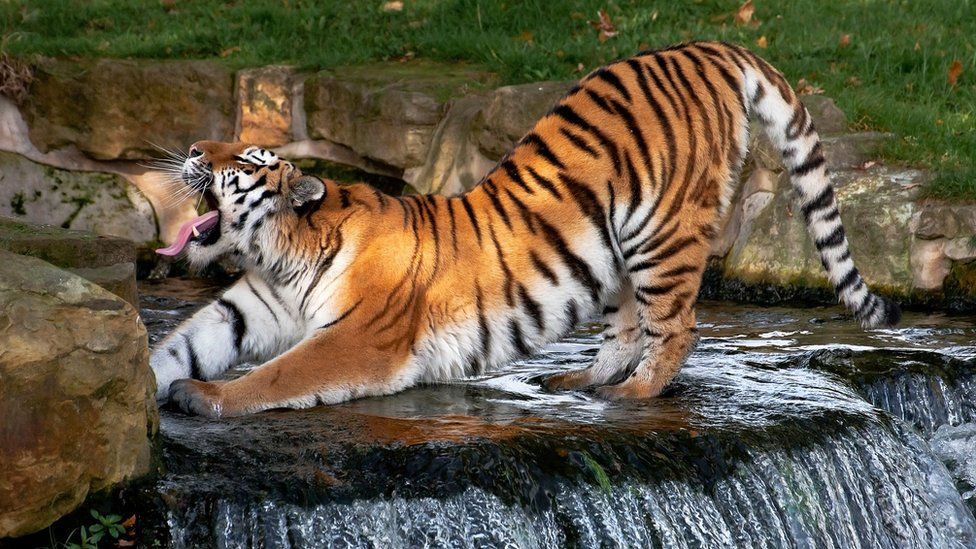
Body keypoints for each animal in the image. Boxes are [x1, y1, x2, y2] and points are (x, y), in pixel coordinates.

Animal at [149, 41, 904, 416]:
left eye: (246, 158)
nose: (191, 148)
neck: (281, 253)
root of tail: (712, 46)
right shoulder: (249, 308)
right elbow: (181, 343)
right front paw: (149, 383)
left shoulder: (362, 338)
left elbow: (280, 374)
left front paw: (208, 398)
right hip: (619, 249)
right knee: (629, 326)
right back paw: (580, 382)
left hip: (662, 231)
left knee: (677, 326)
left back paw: (631, 397)